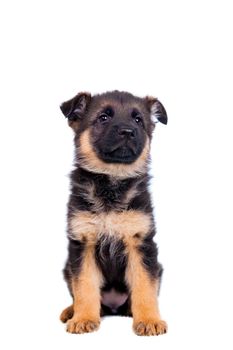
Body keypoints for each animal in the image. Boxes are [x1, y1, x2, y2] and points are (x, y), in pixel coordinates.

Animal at [58, 90, 167, 336]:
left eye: (138, 120)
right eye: (103, 118)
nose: (127, 131)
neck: (112, 181)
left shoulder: (140, 242)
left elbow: (145, 286)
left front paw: (149, 320)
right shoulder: (83, 243)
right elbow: (85, 286)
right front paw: (83, 318)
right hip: (67, 268)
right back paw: (72, 311)